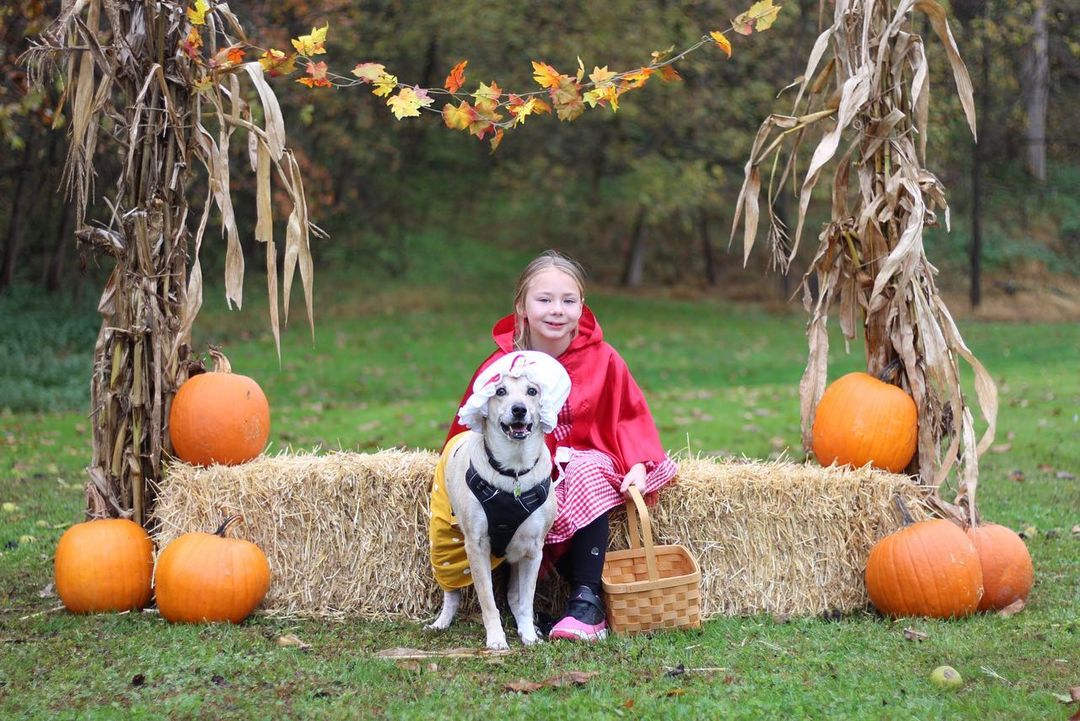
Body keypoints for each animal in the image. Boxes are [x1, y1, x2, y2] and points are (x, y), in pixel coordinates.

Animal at [425, 351, 570, 651]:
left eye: (532, 391)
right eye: (500, 391)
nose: (519, 409)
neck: (513, 470)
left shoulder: (532, 549)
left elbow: (526, 600)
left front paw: (528, 634)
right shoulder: (477, 545)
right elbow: (488, 600)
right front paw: (496, 639)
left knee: (515, 597)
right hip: (443, 545)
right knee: (450, 592)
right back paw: (441, 622)